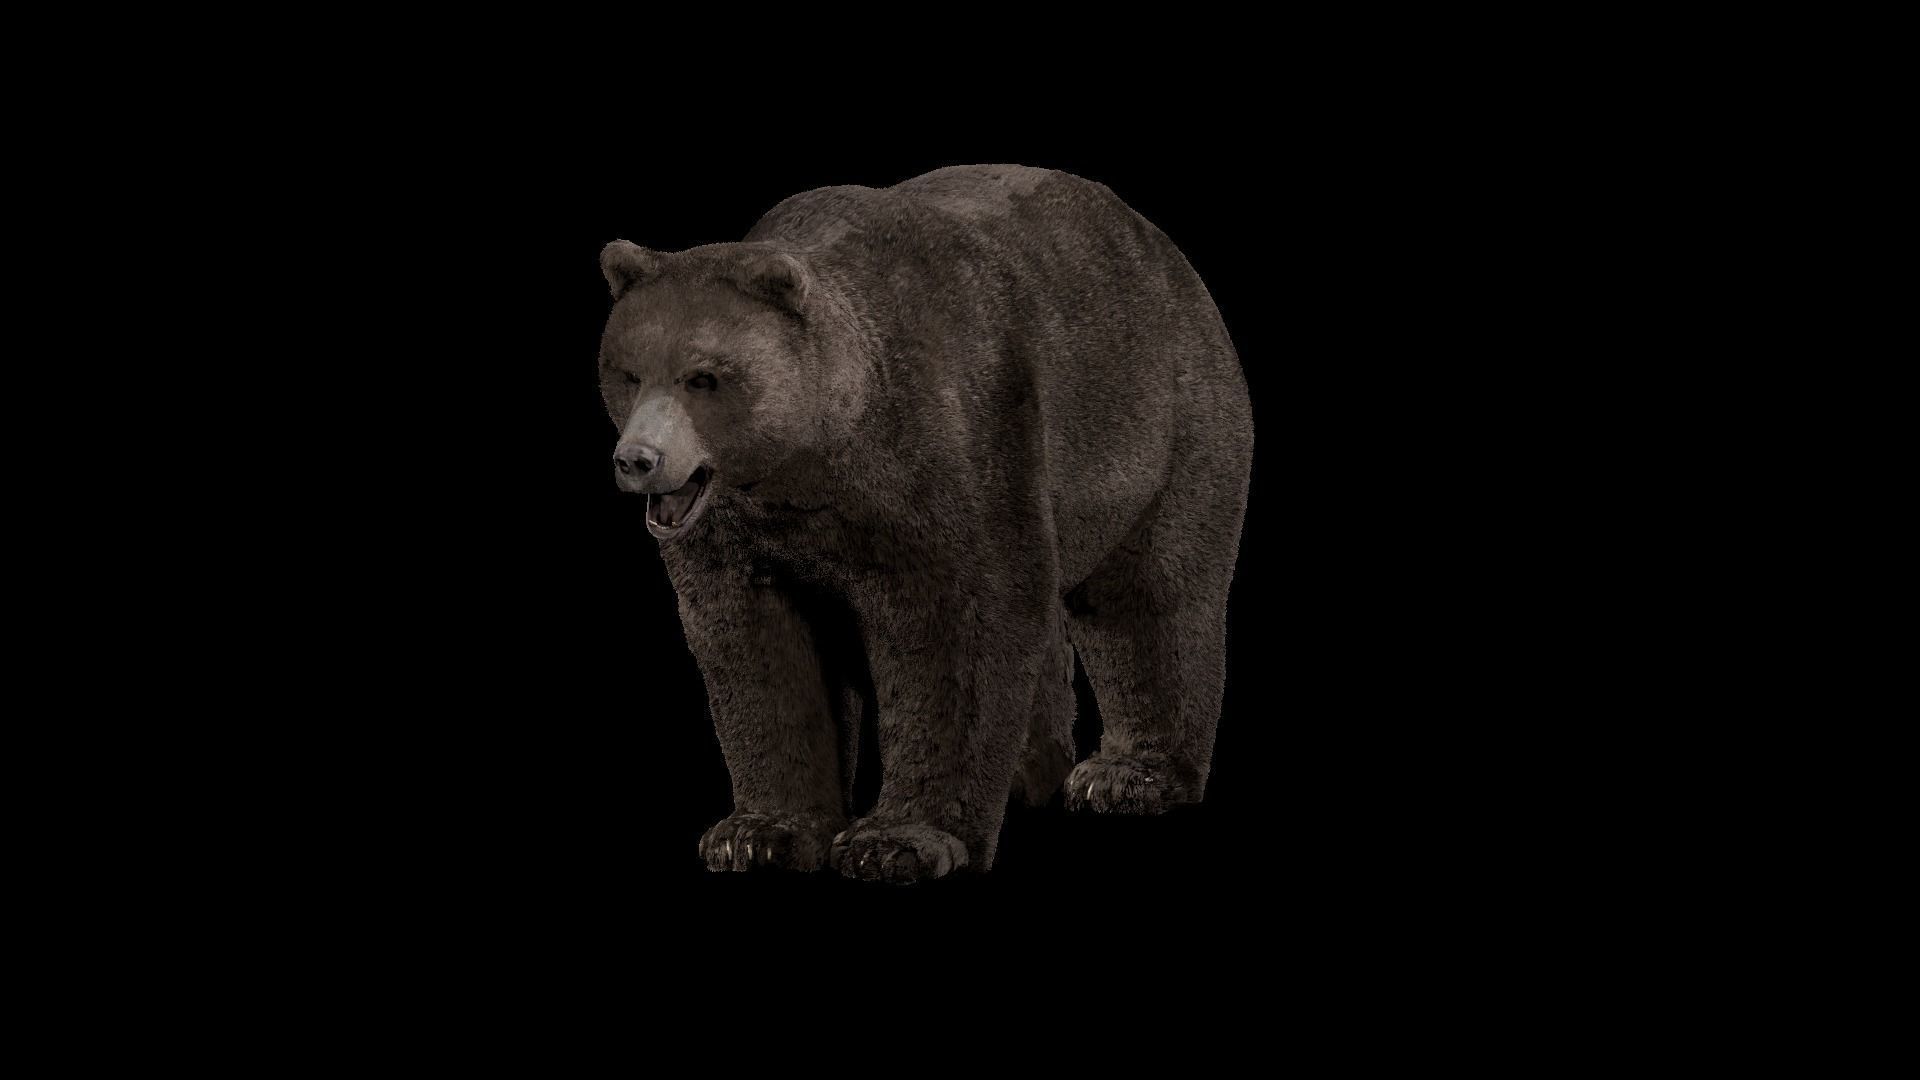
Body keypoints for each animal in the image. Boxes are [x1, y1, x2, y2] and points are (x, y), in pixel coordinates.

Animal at [596, 164, 1253, 883]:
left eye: (704, 377)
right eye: (627, 372)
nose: (637, 459)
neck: (812, 465)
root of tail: (1164, 250)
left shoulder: (952, 446)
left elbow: (959, 625)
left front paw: (897, 841)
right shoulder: (741, 536)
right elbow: (759, 646)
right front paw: (756, 834)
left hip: (1163, 421)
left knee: (1147, 596)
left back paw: (1127, 774)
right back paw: (1027, 775)